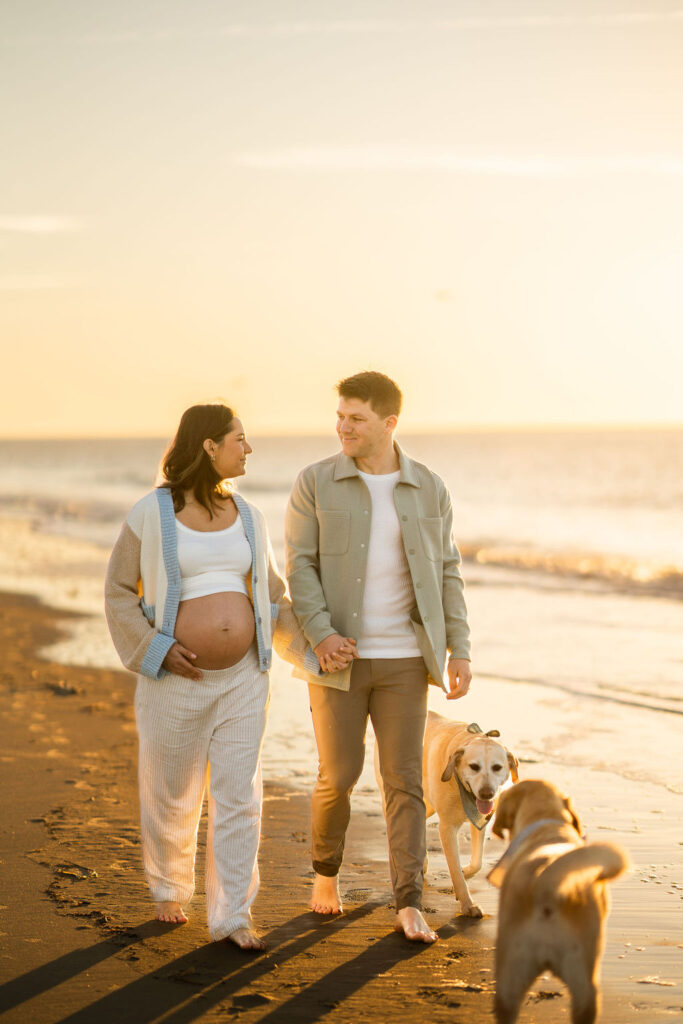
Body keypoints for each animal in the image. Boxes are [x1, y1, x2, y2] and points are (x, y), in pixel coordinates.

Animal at [421, 712, 518, 921]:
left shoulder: (480, 821)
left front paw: (466, 873)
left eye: (497, 767)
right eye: (474, 766)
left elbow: (478, 862)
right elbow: (454, 869)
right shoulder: (447, 828)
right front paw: (467, 904)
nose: (487, 793)